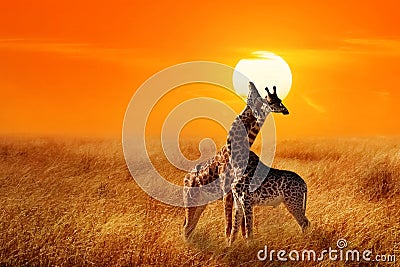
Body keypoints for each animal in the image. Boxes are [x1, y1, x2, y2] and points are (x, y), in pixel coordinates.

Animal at [181, 82, 288, 242]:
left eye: (279, 99)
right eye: (270, 100)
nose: (286, 110)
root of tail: (186, 178)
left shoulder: (240, 193)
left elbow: (241, 227)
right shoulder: (228, 192)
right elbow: (229, 226)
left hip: (202, 202)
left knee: (190, 227)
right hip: (190, 199)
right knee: (186, 226)